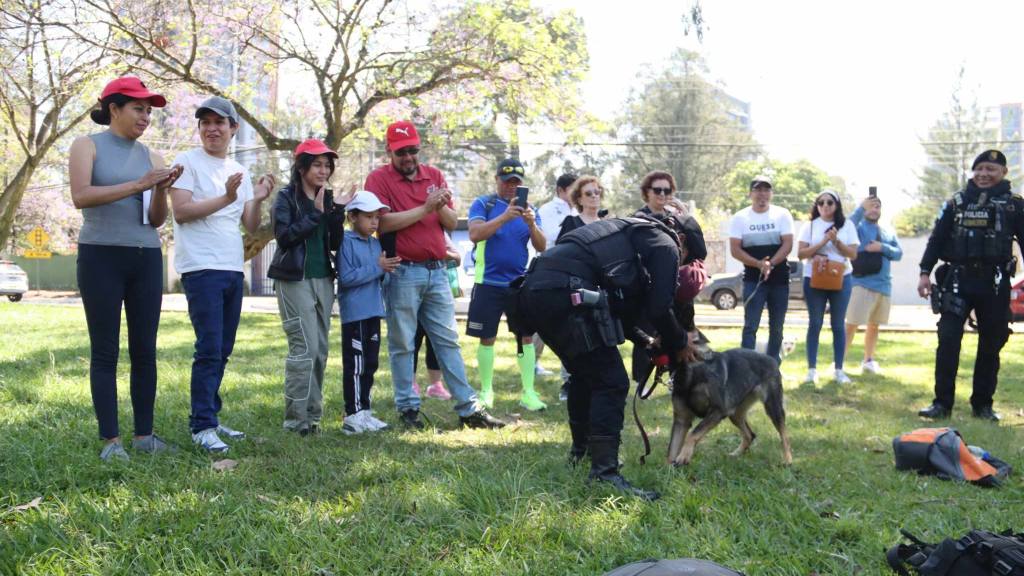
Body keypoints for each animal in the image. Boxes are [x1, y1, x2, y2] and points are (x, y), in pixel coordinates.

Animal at [667, 332, 794, 467]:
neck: (688, 369)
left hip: (773, 408)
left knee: (784, 436)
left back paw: (788, 460)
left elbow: (693, 433)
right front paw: (669, 468)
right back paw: (735, 454)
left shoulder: (718, 411)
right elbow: (671, 450)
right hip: (735, 414)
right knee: (750, 435)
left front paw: (683, 456)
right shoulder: (681, 420)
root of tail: (771, 358)